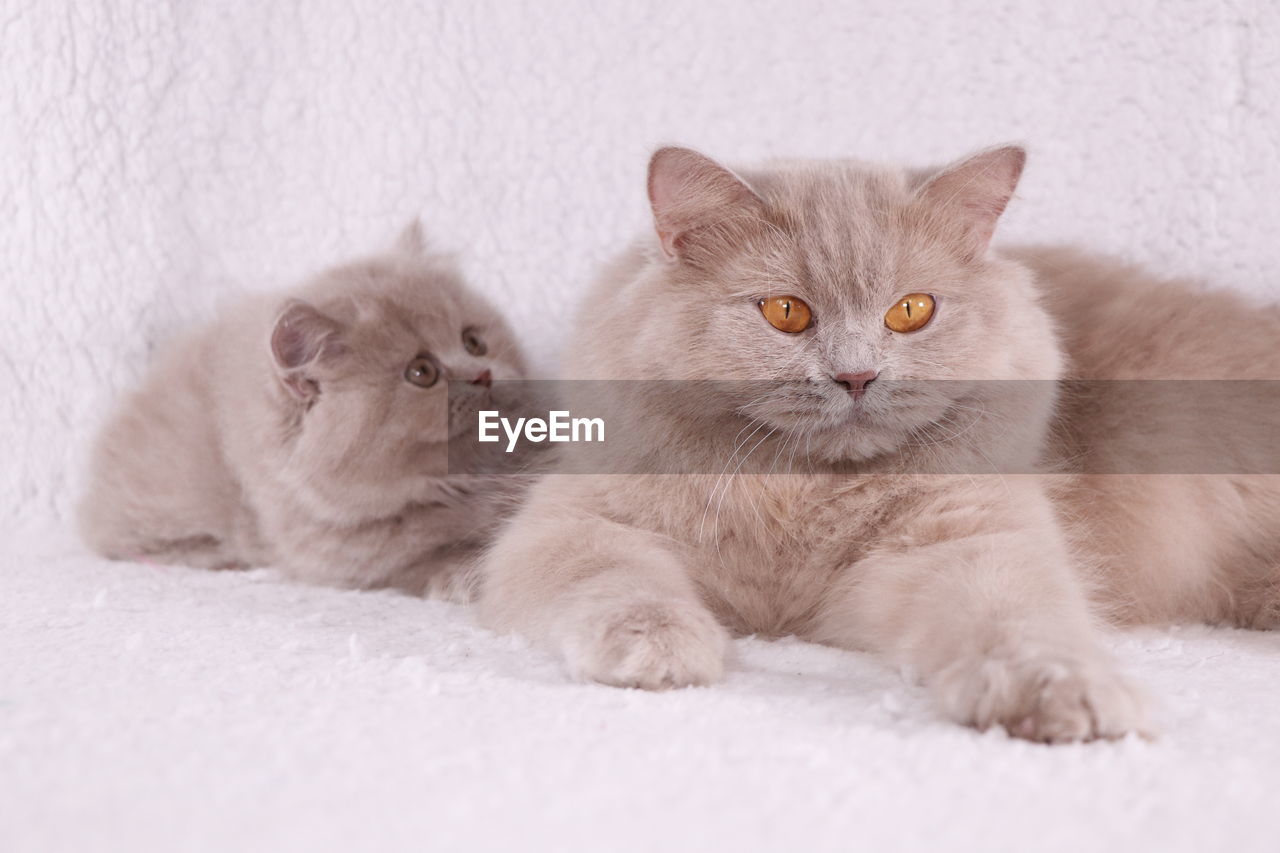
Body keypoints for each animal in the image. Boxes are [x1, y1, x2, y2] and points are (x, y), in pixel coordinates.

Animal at [77, 220, 527, 596]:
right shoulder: (345, 557)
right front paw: (468, 574)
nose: (484, 374)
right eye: (422, 373)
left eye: (473, 342)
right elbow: (433, 561)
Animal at [478, 144, 1280, 737]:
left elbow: (1019, 620)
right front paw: (662, 649)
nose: (857, 375)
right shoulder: (575, 521)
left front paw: (1061, 698)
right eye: (786, 312)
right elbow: (620, 581)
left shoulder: (965, 539)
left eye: (911, 311)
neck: (796, 493)